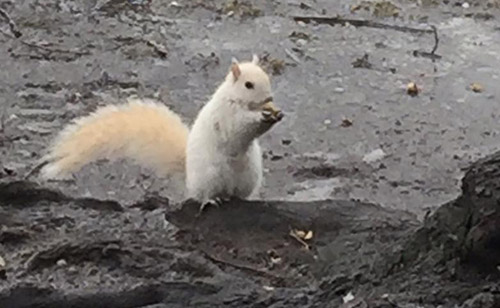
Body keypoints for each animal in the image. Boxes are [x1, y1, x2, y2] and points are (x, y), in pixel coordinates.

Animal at [37, 54, 284, 209]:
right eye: (248, 85)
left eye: (267, 77)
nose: (270, 98)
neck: (238, 99)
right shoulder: (227, 115)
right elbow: (240, 125)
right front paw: (262, 116)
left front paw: (276, 114)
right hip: (210, 177)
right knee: (202, 195)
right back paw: (210, 201)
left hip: (249, 177)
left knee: (239, 195)